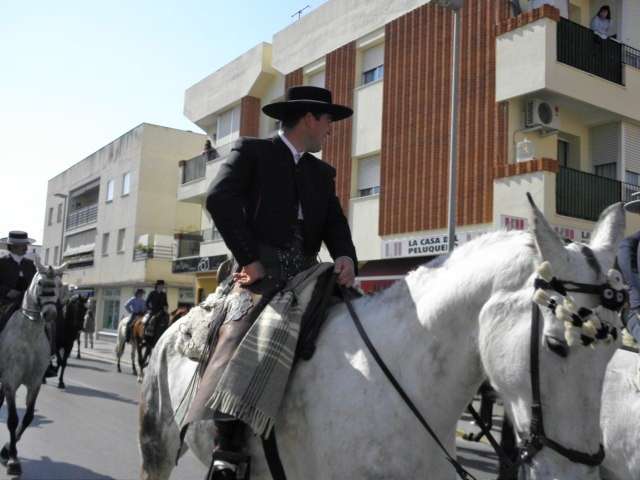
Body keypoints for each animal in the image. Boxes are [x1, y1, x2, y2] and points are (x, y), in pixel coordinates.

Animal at [0, 261, 65, 475]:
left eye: (58, 285)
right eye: (40, 283)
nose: (50, 314)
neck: (29, 335)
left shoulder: (35, 382)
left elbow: (28, 417)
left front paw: (7, 450)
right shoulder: (11, 381)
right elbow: (12, 419)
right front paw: (13, 460)